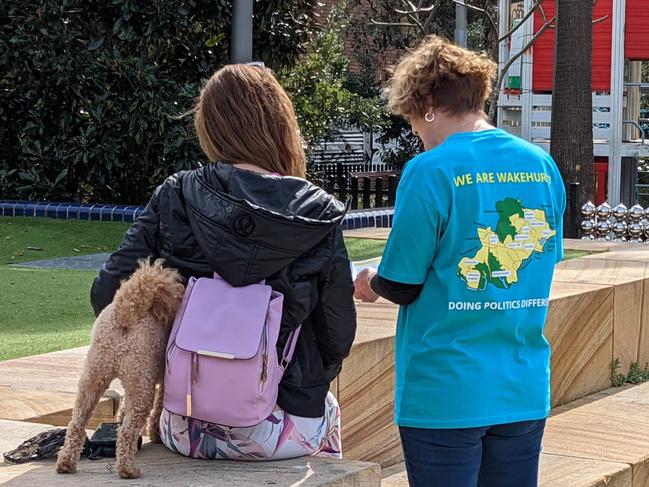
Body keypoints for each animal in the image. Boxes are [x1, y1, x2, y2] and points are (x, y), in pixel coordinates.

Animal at [55, 262, 185, 478]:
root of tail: (124, 313)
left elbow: (123, 410)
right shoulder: (163, 382)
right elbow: (158, 409)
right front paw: (155, 434)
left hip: (93, 376)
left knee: (76, 423)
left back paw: (66, 463)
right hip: (141, 383)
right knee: (126, 431)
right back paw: (128, 469)